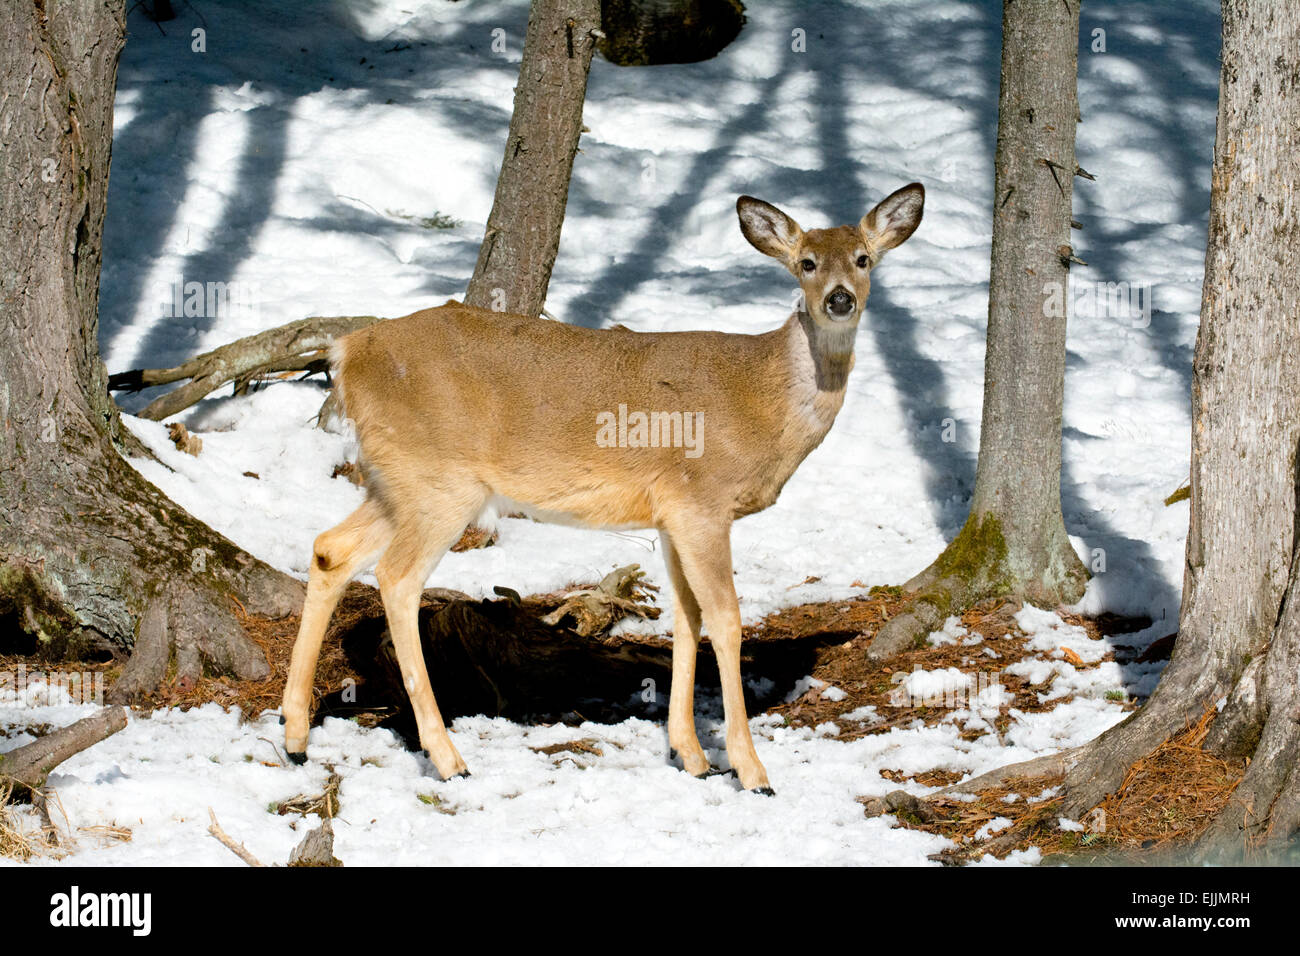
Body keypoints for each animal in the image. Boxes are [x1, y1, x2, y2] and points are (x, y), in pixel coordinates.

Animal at [280, 183, 924, 794]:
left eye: (864, 258)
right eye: (807, 262)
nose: (839, 298)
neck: (762, 399)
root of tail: (345, 352)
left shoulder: (670, 515)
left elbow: (686, 618)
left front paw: (691, 756)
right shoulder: (702, 500)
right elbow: (725, 619)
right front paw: (750, 770)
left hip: (398, 481)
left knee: (330, 549)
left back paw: (294, 736)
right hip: (440, 481)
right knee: (396, 577)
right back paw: (448, 759)